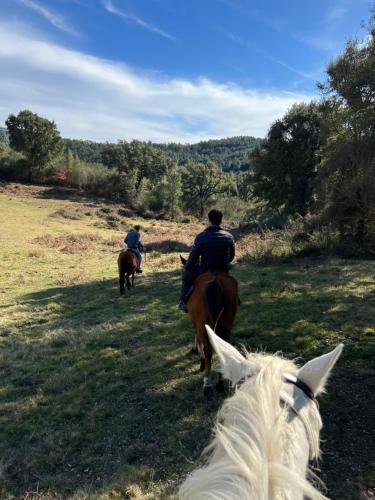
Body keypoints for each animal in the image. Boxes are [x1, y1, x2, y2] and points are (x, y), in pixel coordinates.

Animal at [181, 258, 239, 394]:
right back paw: (220, 383)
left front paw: (199, 358)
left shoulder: (196, 321)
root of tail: (215, 281)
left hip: (203, 324)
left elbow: (197, 336)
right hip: (227, 323)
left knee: (208, 349)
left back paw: (207, 383)